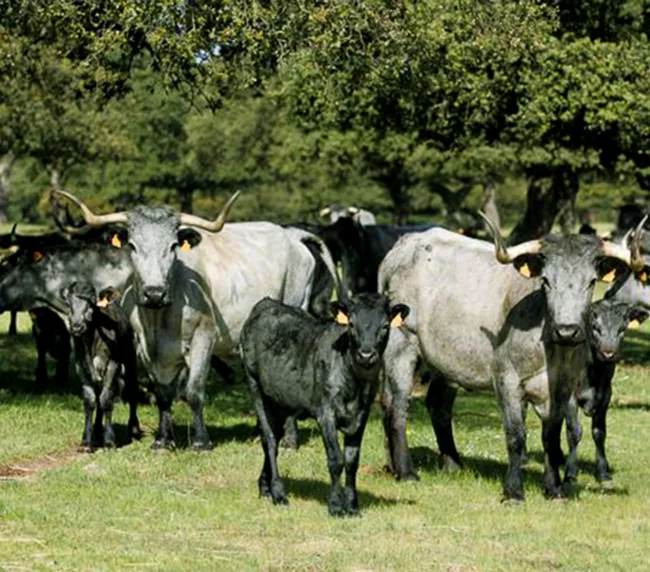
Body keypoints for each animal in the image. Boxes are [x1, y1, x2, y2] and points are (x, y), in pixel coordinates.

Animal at [60, 281, 142, 449]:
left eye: (92, 302)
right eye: (68, 303)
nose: (76, 326)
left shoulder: (113, 364)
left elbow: (105, 400)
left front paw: (109, 440)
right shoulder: (81, 366)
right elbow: (90, 400)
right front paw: (87, 439)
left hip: (130, 359)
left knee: (132, 392)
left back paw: (134, 428)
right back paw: (97, 431)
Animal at [240, 294, 409, 515]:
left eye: (385, 325)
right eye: (351, 324)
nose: (366, 355)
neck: (355, 384)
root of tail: (267, 302)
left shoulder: (361, 415)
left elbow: (352, 461)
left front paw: (352, 506)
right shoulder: (325, 413)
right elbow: (336, 459)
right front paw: (336, 506)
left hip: (280, 400)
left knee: (273, 435)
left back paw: (265, 488)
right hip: (255, 387)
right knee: (269, 439)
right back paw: (278, 493)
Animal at [378, 216, 638, 500]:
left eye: (591, 282)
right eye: (546, 281)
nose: (567, 330)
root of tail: (403, 245)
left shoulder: (562, 390)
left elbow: (552, 438)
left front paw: (554, 488)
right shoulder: (506, 380)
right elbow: (516, 436)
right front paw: (513, 491)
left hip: (447, 361)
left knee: (436, 405)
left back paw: (449, 465)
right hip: (401, 346)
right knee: (397, 407)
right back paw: (406, 471)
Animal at [564, 299, 649, 483]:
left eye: (622, 328)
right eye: (595, 327)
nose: (608, 353)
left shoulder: (605, 396)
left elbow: (599, 433)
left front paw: (603, 472)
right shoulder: (570, 396)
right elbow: (574, 432)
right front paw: (571, 472)